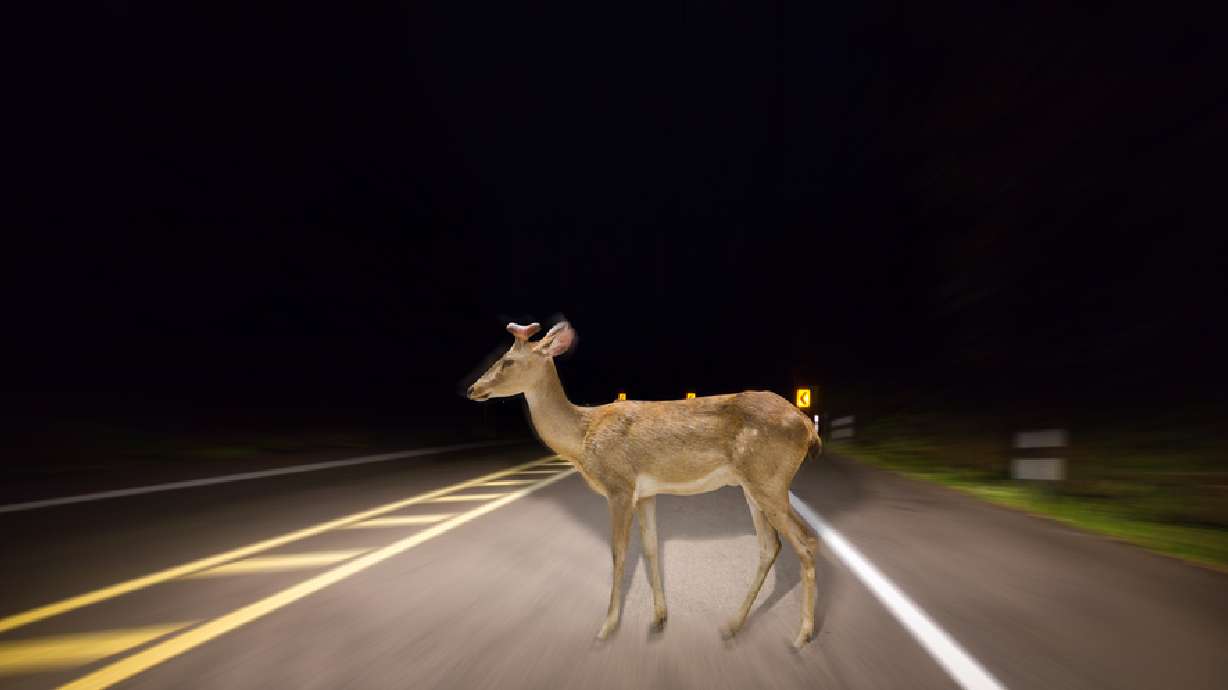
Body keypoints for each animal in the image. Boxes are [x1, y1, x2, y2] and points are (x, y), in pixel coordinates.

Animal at [466, 320, 822, 648]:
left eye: (508, 360)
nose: (472, 389)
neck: (583, 435)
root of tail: (808, 426)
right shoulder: (645, 493)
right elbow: (651, 547)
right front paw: (659, 617)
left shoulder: (619, 486)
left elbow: (619, 551)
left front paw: (607, 627)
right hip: (753, 485)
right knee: (771, 545)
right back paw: (732, 625)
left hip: (769, 480)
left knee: (805, 541)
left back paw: (802, 635)